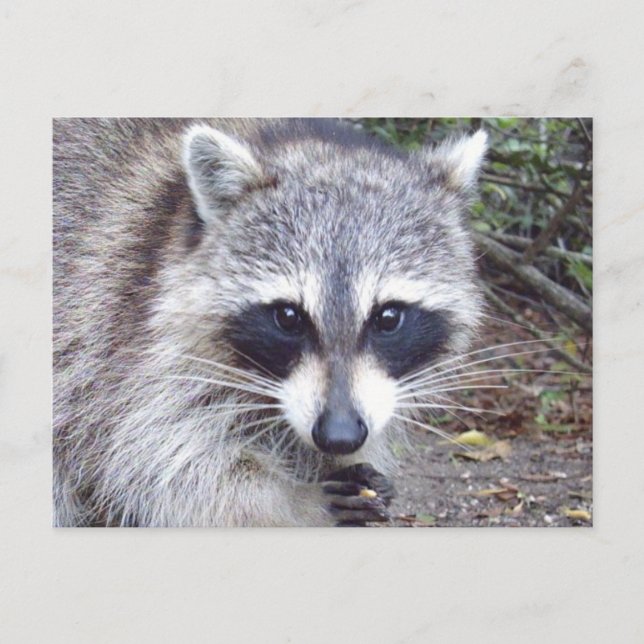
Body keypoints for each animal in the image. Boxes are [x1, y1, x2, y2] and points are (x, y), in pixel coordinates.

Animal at [53, 118, 487, 527]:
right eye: (288, 317)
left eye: (389, 317)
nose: (340, 437)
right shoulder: (118, 327)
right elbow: (157, 459)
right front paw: (295, 503)